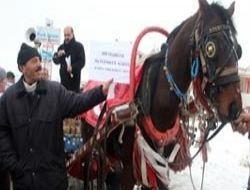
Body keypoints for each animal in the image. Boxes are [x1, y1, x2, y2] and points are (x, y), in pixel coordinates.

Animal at [72, 0, 242, 190]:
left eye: (238, 49)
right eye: (211, 47)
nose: (235, 107)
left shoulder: (159, 166)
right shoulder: (131, 168)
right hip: (92, 146)